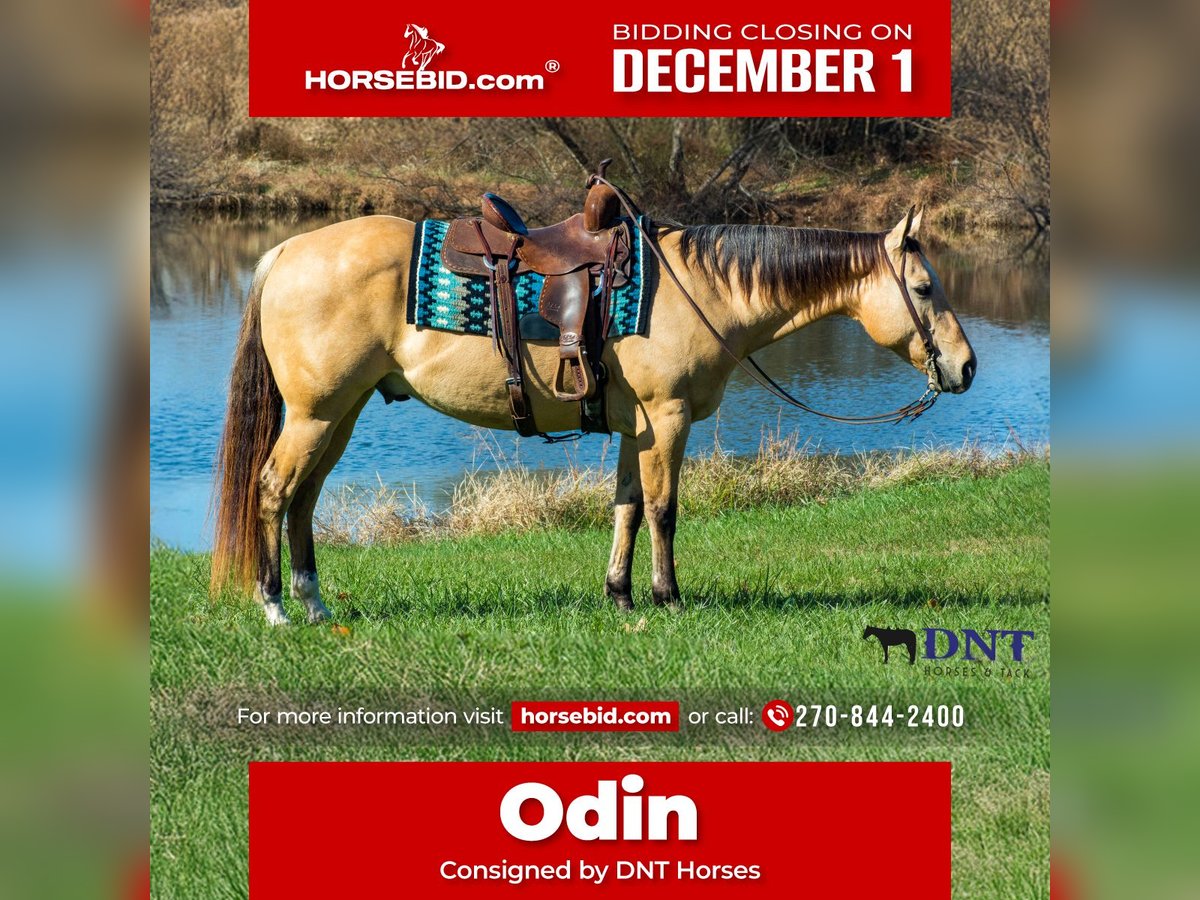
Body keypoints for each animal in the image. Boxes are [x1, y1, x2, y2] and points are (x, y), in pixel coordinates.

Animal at [211, 208, 977, 625]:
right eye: (923, 287)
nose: (966, 367)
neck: (702, 291)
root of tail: (286, 250)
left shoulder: (638, 429)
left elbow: (626, 508)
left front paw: (621, 596)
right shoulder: (668, 420)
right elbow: (664, 510)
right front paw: (669, 598)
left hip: (337, 416)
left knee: (304, 499)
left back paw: (313, 602)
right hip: (314, 415)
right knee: (273, 491)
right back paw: (276, 606)